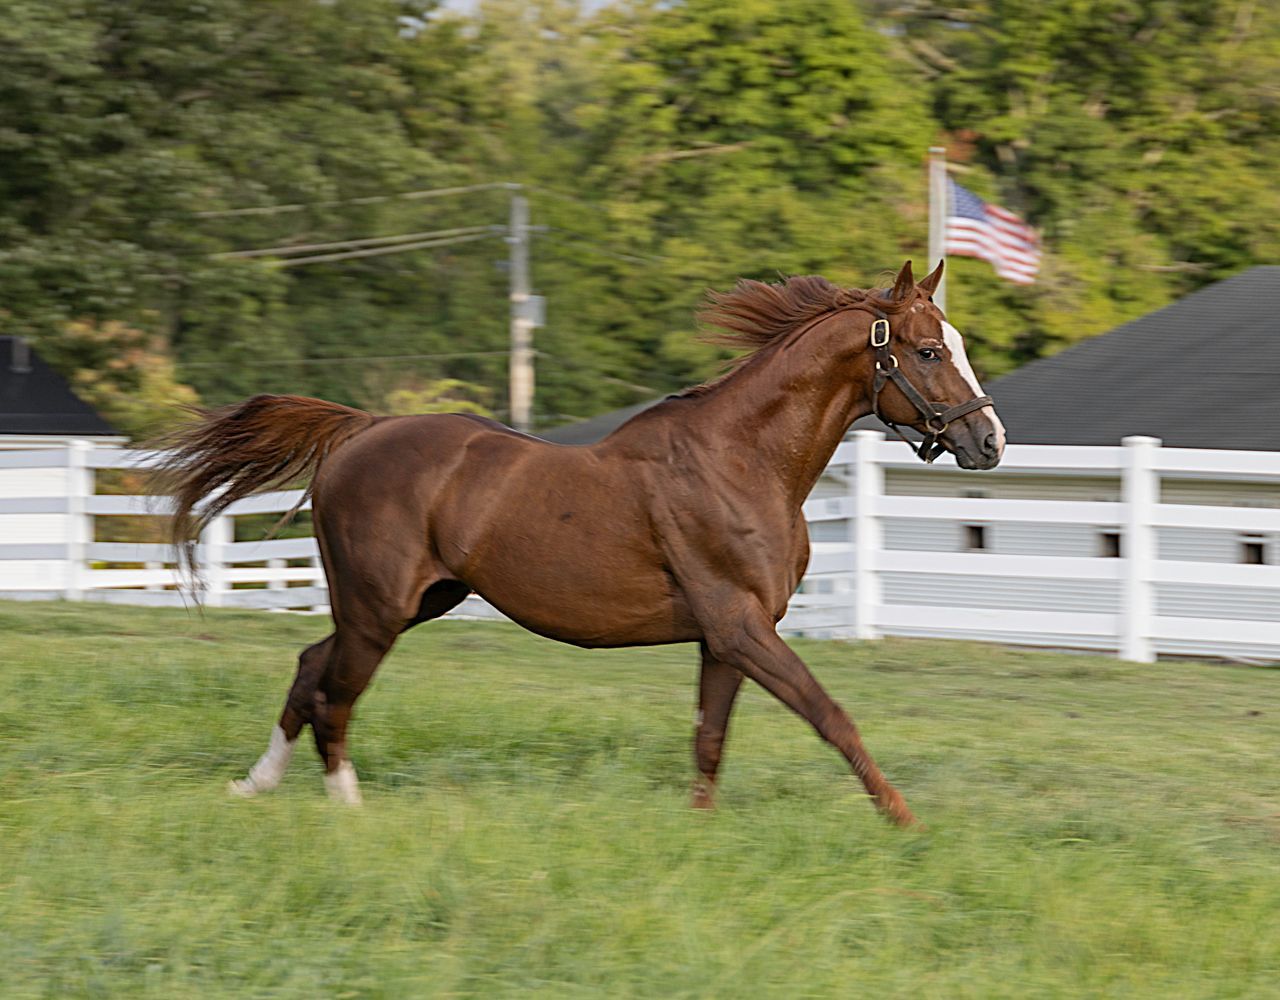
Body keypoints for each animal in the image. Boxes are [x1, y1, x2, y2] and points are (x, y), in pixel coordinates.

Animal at [159, 260, 1005, 826]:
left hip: (416, 601)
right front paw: (903, 819)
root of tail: (362, 429)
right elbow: (831, 715)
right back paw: (346, 804)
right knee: (335, 693)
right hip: (377, 608)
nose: (989, 442)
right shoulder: (740, 626)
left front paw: (699, 829)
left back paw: (253, 786)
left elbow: (709, 740)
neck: (740, 461)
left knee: (311, 670)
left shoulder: (725, 638)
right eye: (929, 351)